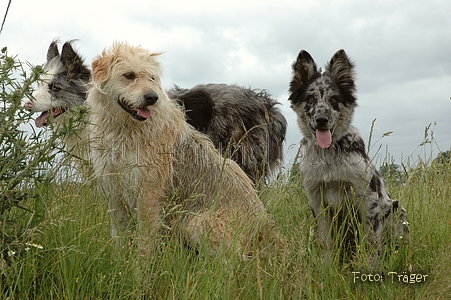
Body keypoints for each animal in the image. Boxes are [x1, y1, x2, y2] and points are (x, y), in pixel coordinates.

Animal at [86, 42, 280, 258]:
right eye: (129, 75)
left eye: (151, 78)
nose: (152, 97)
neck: (126, 130)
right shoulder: (115, 192)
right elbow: (118, 238)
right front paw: (119, 262)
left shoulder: (148, 196)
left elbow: (145, 244)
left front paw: (140, 268)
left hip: (196, 221)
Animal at [290, 48, 410, 260]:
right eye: (311, 99)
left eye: (334, 99)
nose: (322, 120)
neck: (328, 158)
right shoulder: (317, 200)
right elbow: (326, 242)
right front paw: (327, 266)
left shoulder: (367, 198)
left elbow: (371, 242)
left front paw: (372, 267)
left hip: (397, 209)